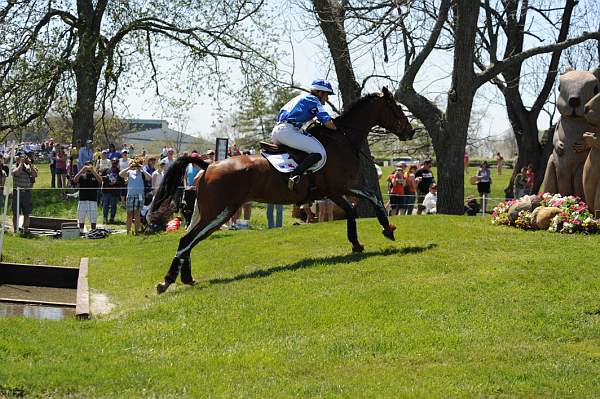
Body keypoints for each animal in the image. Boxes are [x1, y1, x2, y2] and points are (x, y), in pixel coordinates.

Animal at [148, 86, 414, 294]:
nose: (410, 131)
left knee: (189, 238)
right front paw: (387, 229)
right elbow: (374, 198)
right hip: (221, 211)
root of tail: (209, 164)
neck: (342, 140)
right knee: (188, 239)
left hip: (203, 211)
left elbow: (350, 211)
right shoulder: (343, 186)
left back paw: (185, 278)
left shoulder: (332, 192)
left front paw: (356, 244)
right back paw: (167, 281)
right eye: (397, 109)